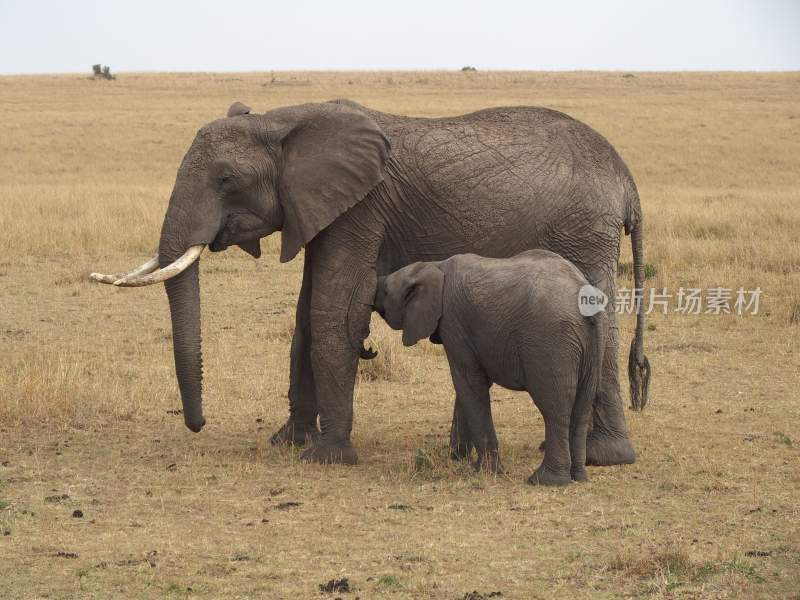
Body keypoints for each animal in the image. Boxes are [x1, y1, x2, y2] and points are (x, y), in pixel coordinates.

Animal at [374, 251, 608, 486]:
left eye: (385, 291)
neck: (434, 266)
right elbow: (471, 385)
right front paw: (468, 462)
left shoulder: (453, 322)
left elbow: (468, 382)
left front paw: (485, 471)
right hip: (593, 345)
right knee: (582, 407)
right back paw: (579, 478)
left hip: (550, 340)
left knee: (554, 409)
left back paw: (544, 481)